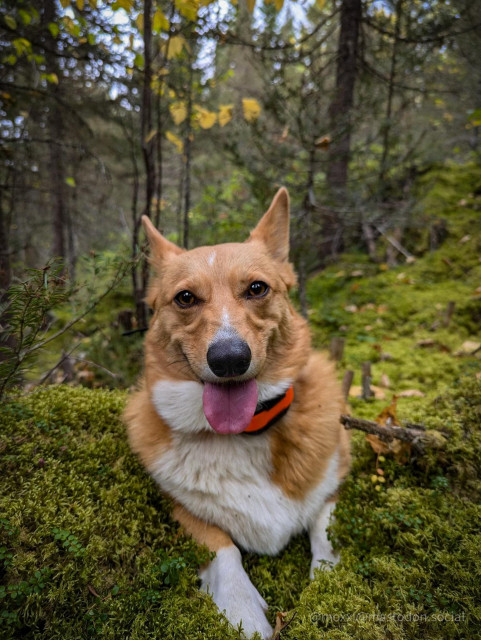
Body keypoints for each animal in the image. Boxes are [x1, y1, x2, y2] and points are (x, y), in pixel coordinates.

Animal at [124, 188, 348, 636]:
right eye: (186, 298)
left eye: (257, 288)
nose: (229, 359)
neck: (246, 432)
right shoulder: (176, 505)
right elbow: (222, 546)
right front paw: (242, 609)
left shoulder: (339, 469)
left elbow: (324, 527)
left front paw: (327, 584)